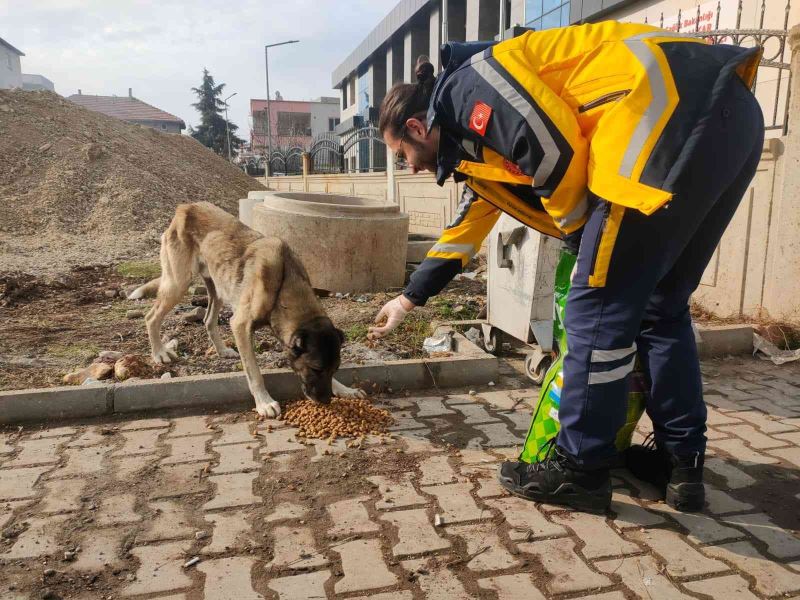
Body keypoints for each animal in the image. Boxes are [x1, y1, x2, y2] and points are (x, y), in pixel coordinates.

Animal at [129, 202, 366, 418]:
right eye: (316, 369)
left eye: (335, 369)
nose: (325, 401)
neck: (284, 285)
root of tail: (186, 207)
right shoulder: (240, 326)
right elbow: (254, 372)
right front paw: (264, 402)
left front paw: (344, 389)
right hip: (178, 284)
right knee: (151, 317)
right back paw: (159, 353)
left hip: (218, 288)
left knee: (208, 320)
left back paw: (222, 350)